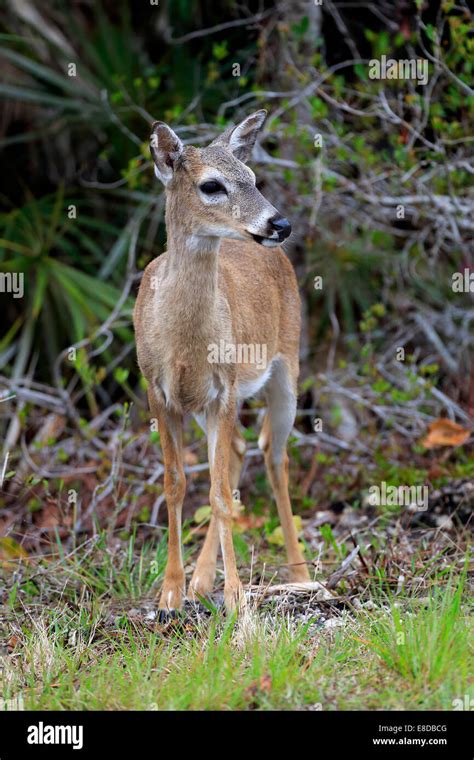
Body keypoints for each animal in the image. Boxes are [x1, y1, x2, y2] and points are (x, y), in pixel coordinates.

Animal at [133, 108, 312, 616]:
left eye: (251, 177)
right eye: (211, 185)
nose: (279, 224)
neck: (184, 343)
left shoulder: (226, 386)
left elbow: (214, 491)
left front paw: (234, 596)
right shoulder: (160, 391)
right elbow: (176, 484)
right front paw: (171, 591)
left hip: (286, 367)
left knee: (273, 454)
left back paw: (301, 576)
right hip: (207, 406)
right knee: (236, 452)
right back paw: (200, 579)